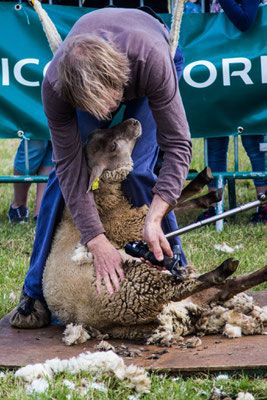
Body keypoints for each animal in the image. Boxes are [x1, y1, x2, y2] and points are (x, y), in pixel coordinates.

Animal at [42, 117, 267, 346]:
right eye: (112, 146)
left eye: (97, 132)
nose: (133, 121)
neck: (101, 198)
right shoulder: (128, 226)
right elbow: (167, 205)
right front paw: (203, 187)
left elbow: (167, 204)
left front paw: (207, 192)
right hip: (135, 286)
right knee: (183, 288)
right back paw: (223, 270)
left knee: (222, 291)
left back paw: (257, 271)